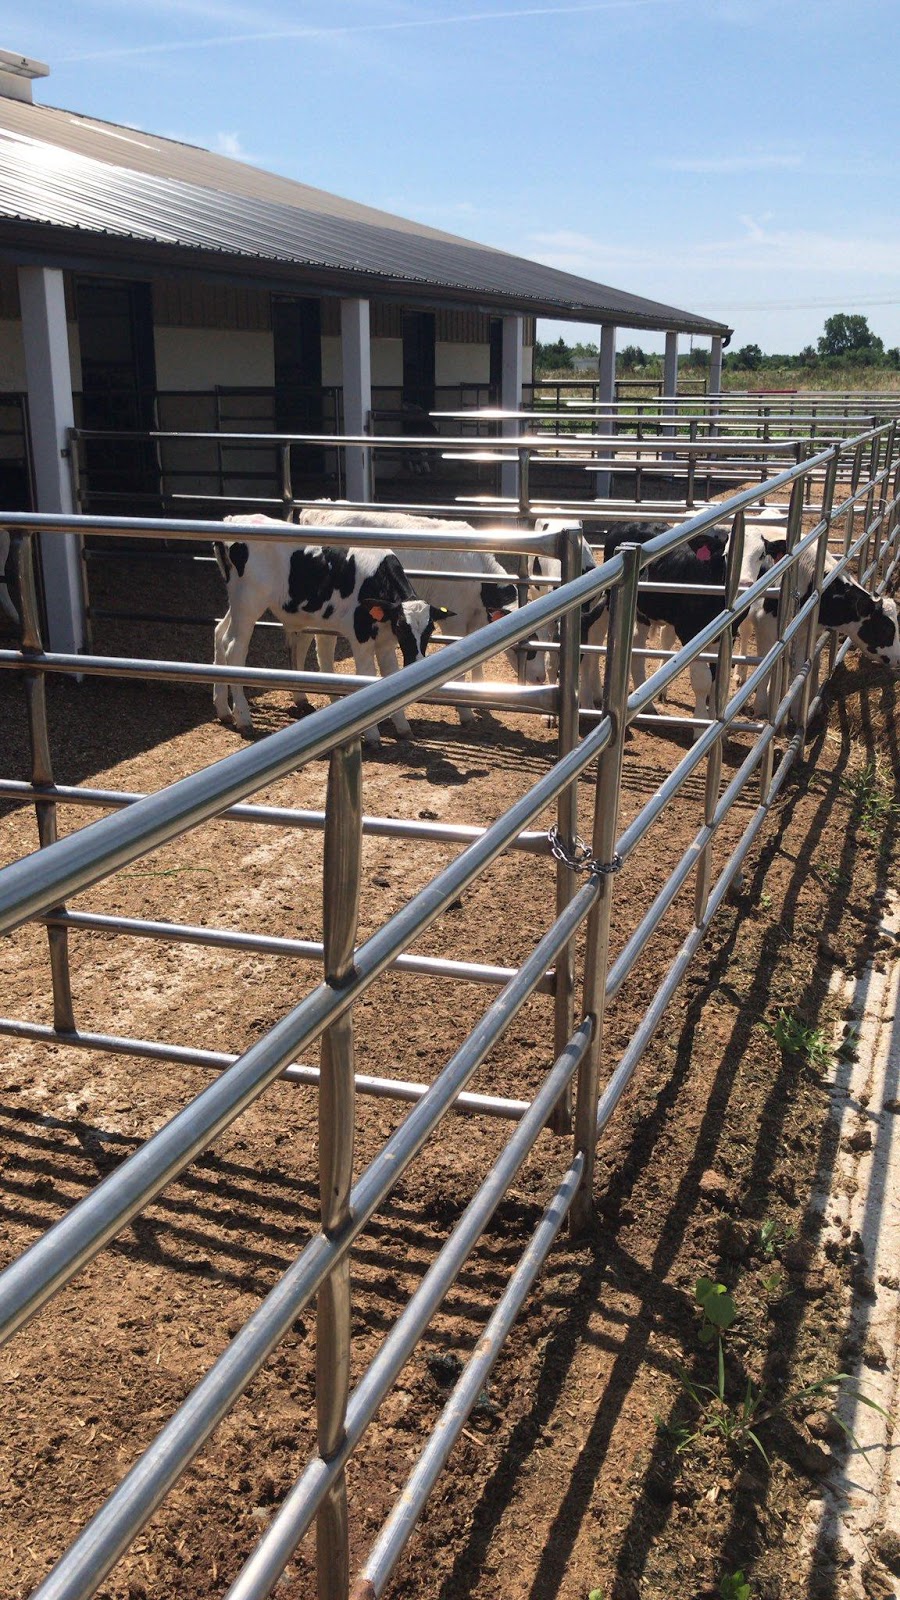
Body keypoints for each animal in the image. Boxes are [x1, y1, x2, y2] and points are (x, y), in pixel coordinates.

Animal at [211, 515, 448, 739]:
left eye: (430, 630)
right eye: (401, 627)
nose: (417, 663)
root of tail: (233, 519)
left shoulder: (385, 641)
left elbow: (391, 675)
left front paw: (403, 727)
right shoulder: (360, 634)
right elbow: (366, 675)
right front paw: (372, 735)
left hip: (237, 603)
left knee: (220, 633)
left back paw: (224, 709)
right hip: (249, 602)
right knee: (234, 648)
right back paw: (244, 718)